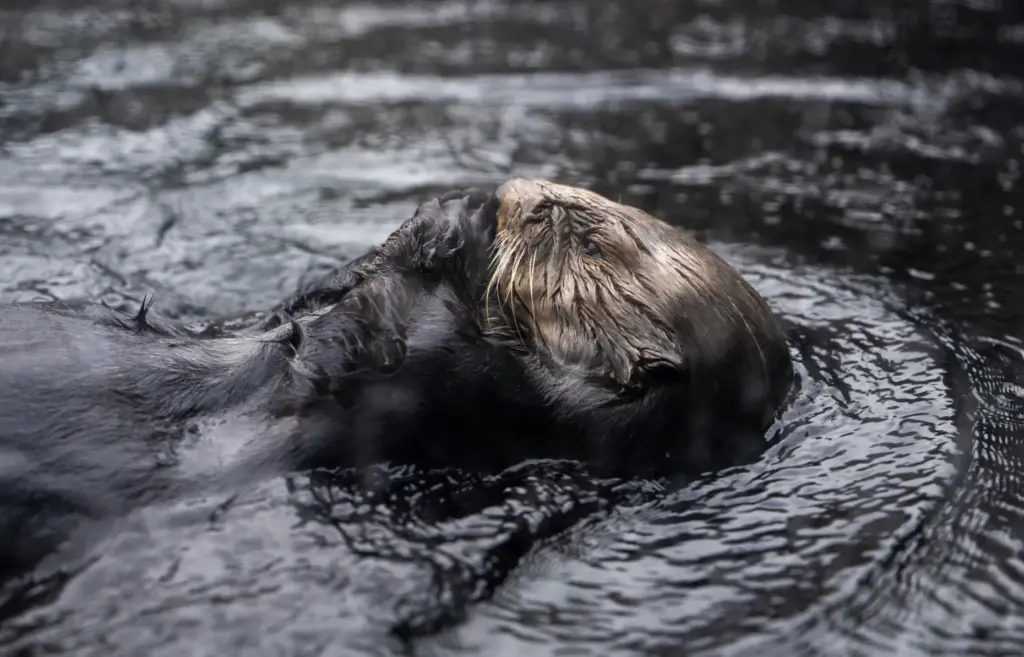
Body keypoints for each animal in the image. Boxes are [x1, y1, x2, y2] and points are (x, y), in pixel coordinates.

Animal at [0, 180, 791, 573]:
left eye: (589, 237)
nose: (512, 194)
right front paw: (444, 219)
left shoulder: (471, 396)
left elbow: (366, 351)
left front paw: (456, 234)